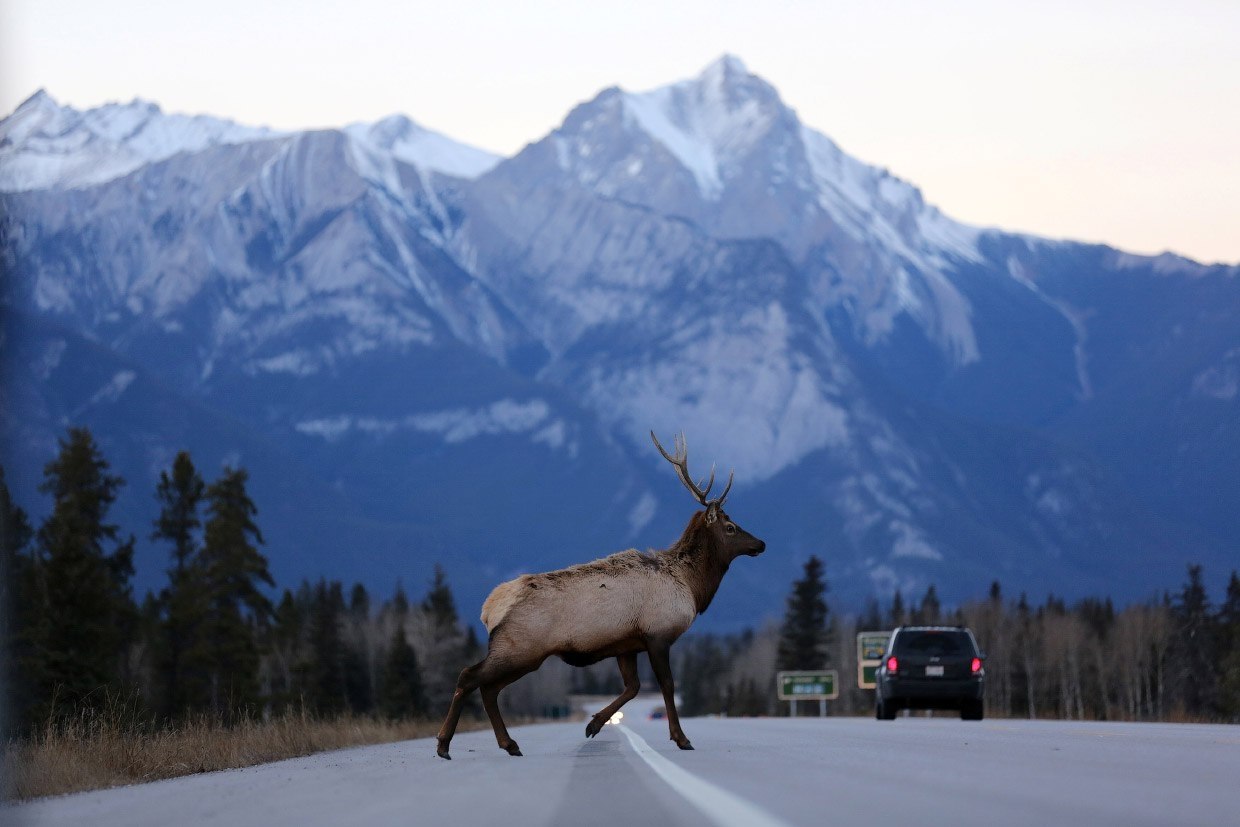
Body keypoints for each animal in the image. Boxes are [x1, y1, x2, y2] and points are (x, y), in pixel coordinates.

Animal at [436, 431, 763, 758]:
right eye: (731, 527)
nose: (761, 543)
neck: (692, 587)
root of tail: (489, 609)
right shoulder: (658, 634)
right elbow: (667, 685)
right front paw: (681, 738)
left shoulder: (627, 644)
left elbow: (633, 687)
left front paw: (593, 724)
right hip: (520, 648)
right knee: (470, 676)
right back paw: (444, 744)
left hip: (518, 652)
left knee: (488, 688)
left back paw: (509, 744)